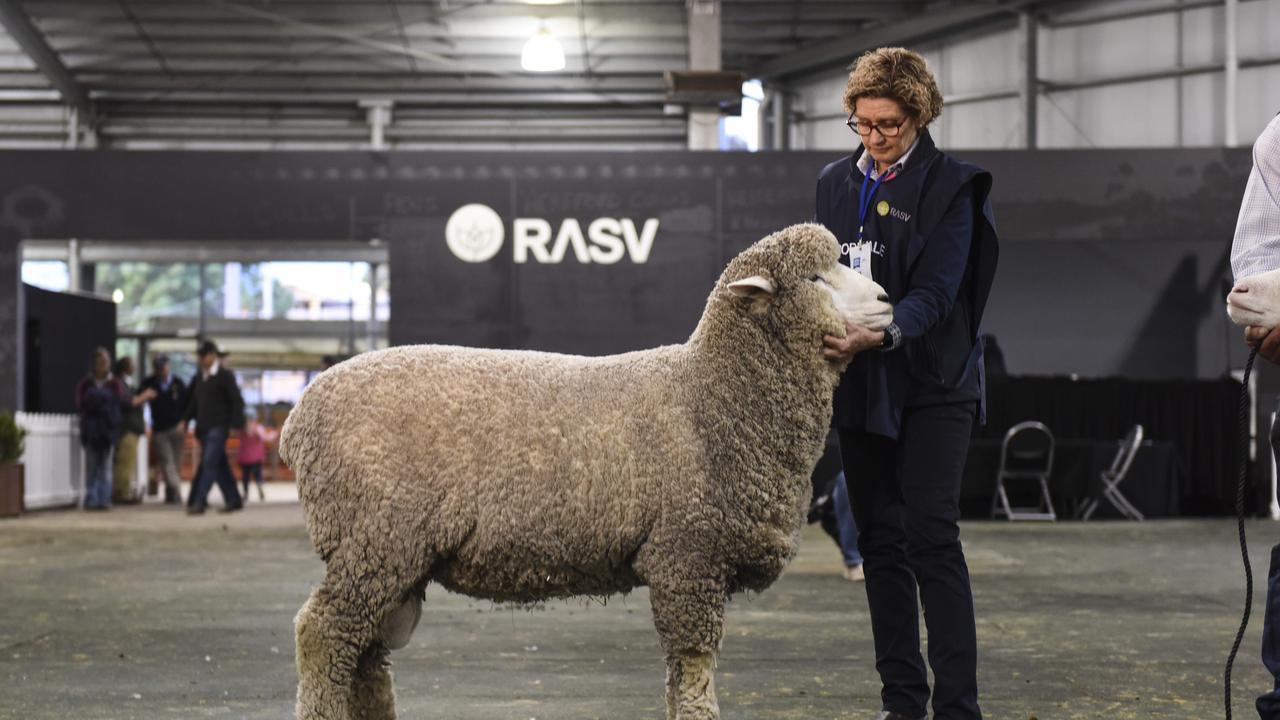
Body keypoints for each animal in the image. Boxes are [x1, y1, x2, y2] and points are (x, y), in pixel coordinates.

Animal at [280, 221, 890, 712]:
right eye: (814, 279)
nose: (887, 298)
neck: (713, 395)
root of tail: (298, 417)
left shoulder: (688, 561)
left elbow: (679, 678)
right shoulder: (687, 556)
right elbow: (694, 671)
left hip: (387, 555)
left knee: (364, 657)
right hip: (378, 538)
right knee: (322, 634)